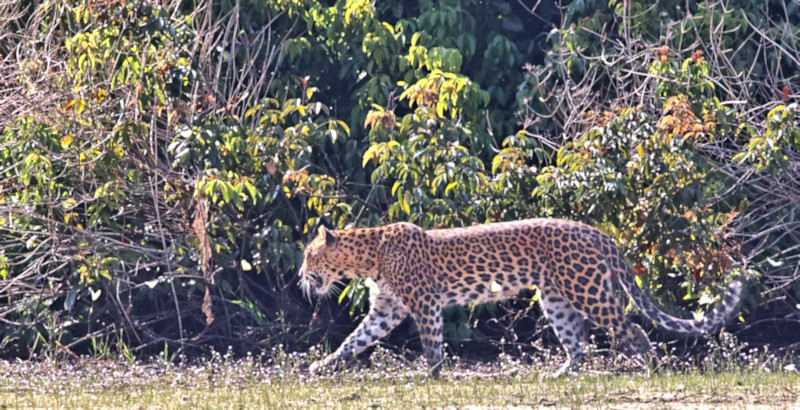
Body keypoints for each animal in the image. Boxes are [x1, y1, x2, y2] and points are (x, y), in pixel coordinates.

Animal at [300, 219, 744, 376]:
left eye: (308, 254)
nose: (300, 275)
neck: (369, 256)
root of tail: (599, 233)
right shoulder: (386, 310)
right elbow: (353, 340)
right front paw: (321, 365)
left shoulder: (425, 303)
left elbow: (431, 345)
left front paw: (430, 377)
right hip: (556, 299)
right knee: (578, 343)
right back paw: (558, 376)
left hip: (587, 290)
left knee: (631, 328)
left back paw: (650, 369)